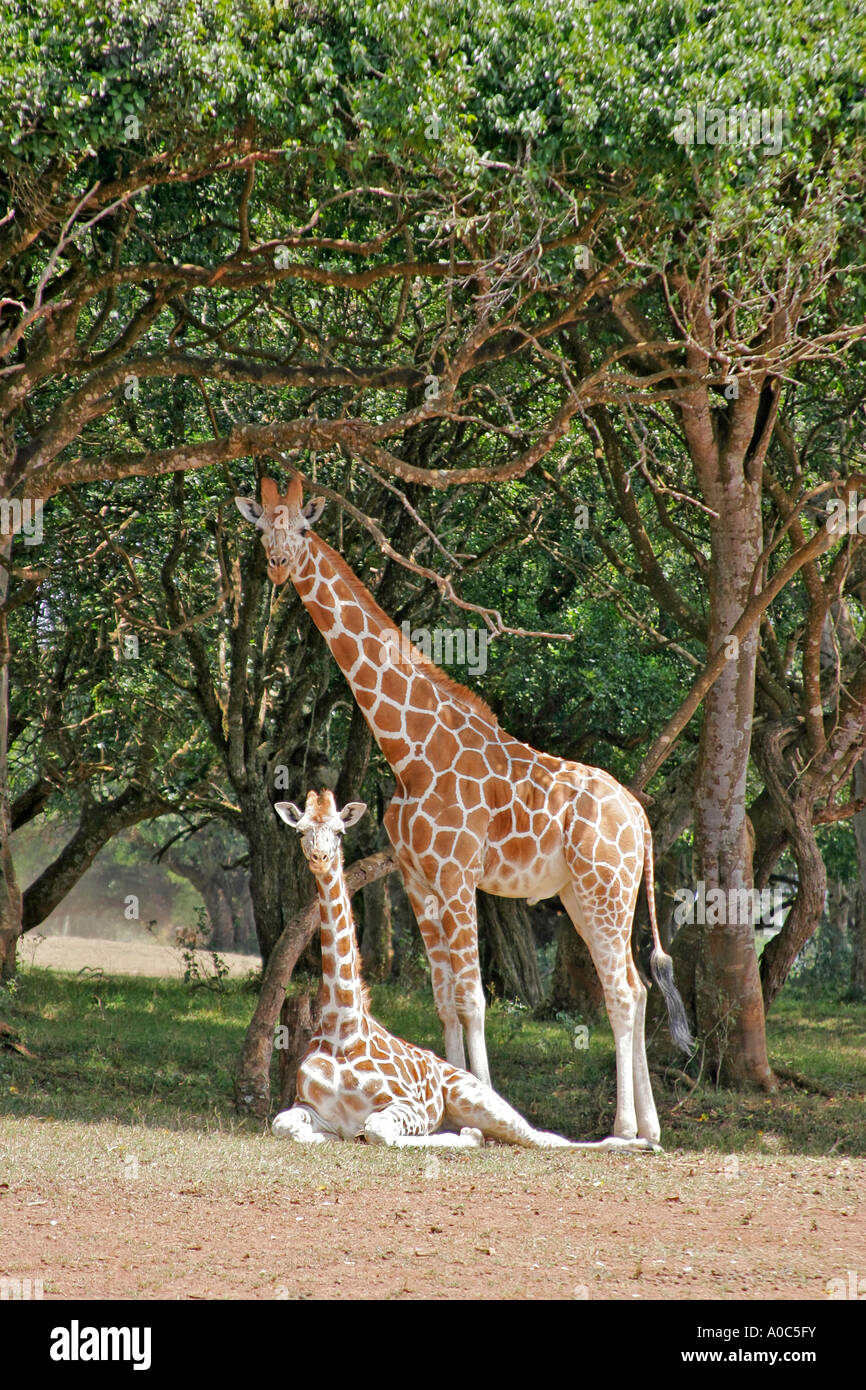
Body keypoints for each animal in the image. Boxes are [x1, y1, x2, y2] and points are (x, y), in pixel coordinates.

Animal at [272, 790, 654, 1150]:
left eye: (339, 831)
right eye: (301, 830)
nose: (320, 859)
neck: (342, 1026)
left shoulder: (410, 1106)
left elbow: (377, 1130)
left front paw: (464, 1139)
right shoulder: (308, 1107)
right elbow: (283, 1125)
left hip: (472, 1095)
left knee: (545, 1138)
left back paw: (636, 1142)